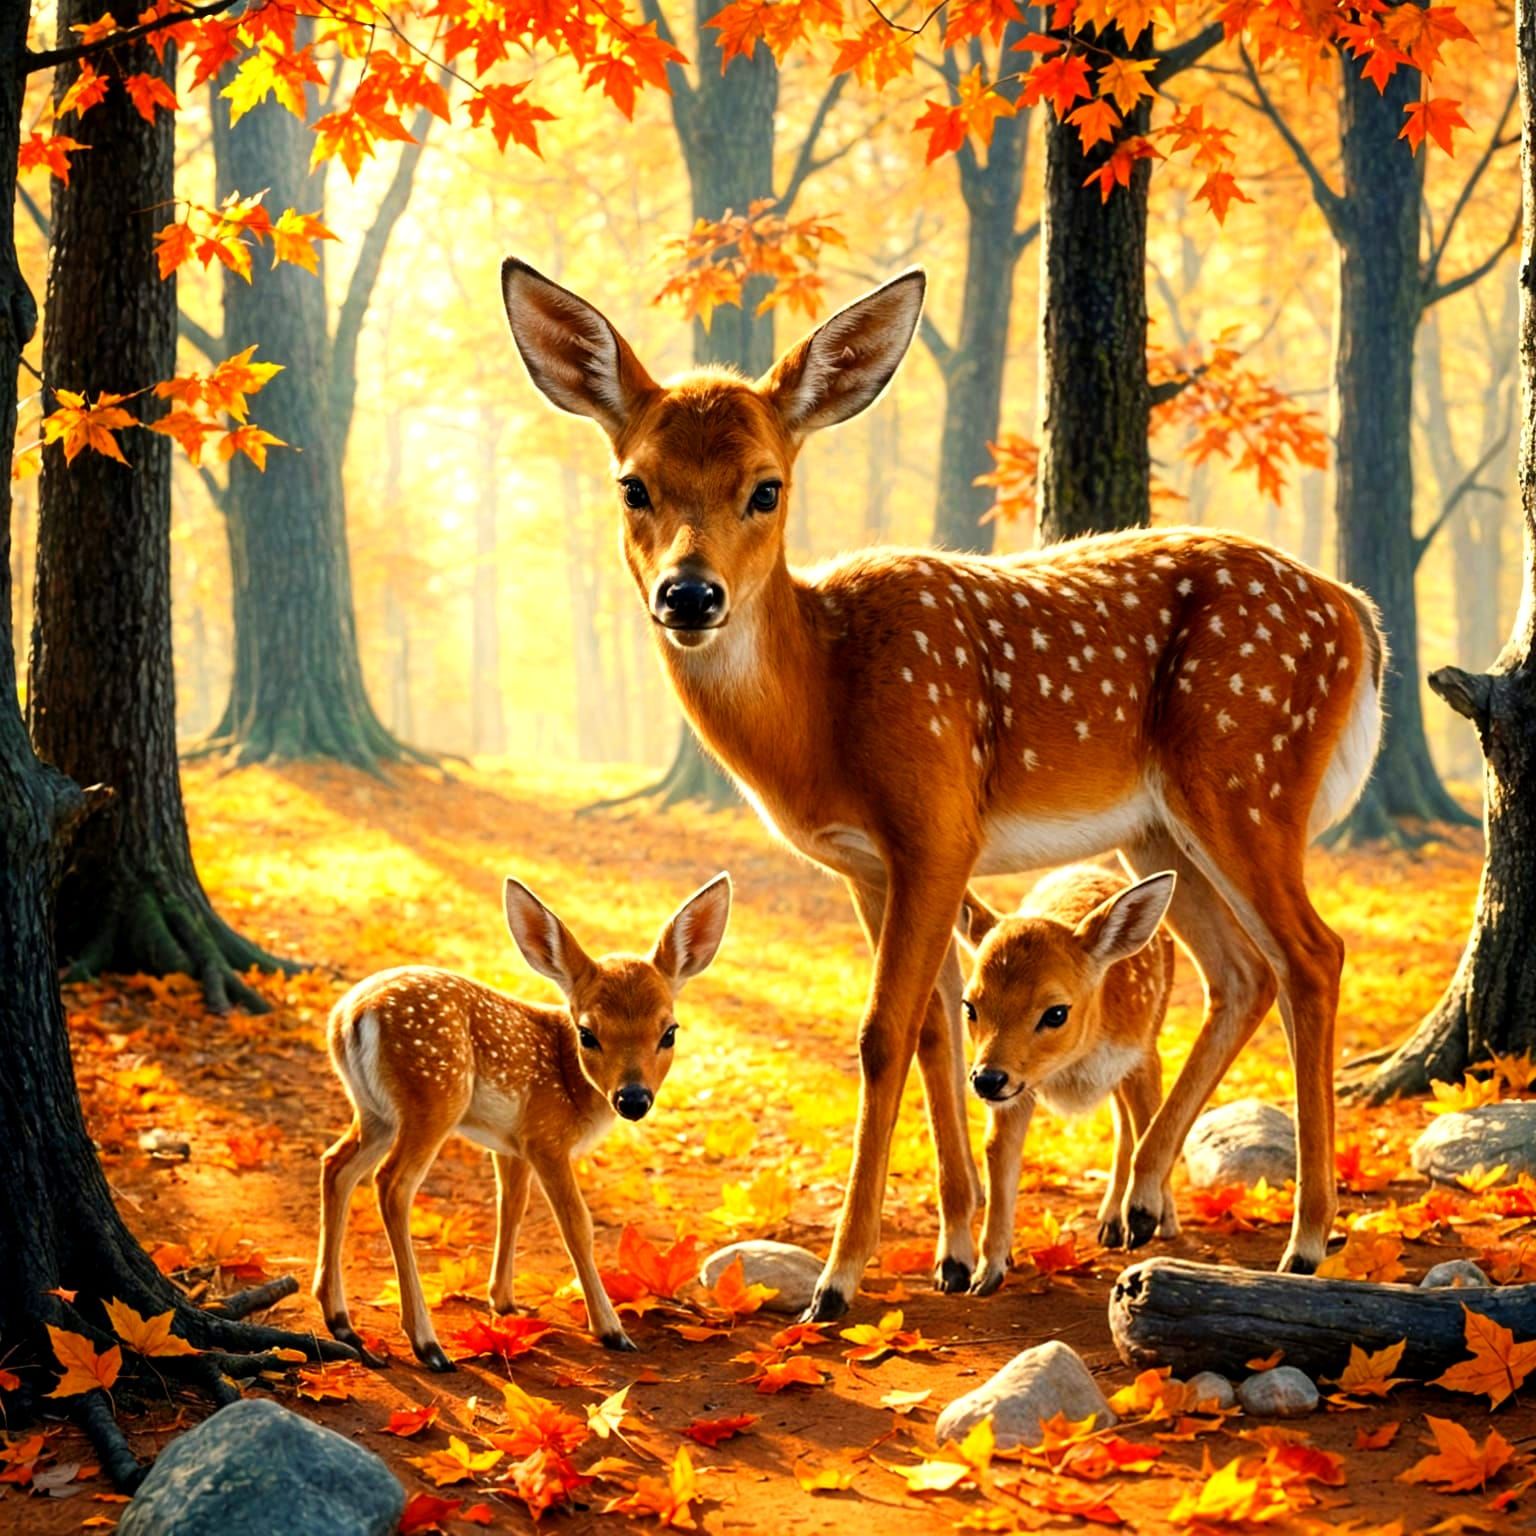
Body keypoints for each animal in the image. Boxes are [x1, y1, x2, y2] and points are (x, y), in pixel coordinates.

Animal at [313, 873, 732, 1370]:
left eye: (669, 1032)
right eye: (587, 1032)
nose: (633, 1098)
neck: (571, 1084)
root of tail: (352, 1015)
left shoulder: (509, 1143)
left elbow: (510, 1206)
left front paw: (504, 1301)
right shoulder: (546, 1138)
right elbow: (577, 1224)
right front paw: (610, 1329)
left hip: (375, 1111)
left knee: (336, 1163)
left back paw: (340, 1320)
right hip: (433, 1097)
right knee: (391, 1184)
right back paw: (427, 1344)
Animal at [958, 866, 1178, 1296]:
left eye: (1056, 1012)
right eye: (969, 1006)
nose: (986, 1079)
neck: (1073, 1065)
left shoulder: (1140, 1055)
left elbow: (1151, 1127)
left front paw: (1150, 1216)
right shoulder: (1018, 1090)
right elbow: (998, 1156)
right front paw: (987, 1271)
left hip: (1152, 1031)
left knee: (1133, 1124)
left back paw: (1139, 1219)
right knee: (1121, 1121)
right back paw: (1112, 1222)